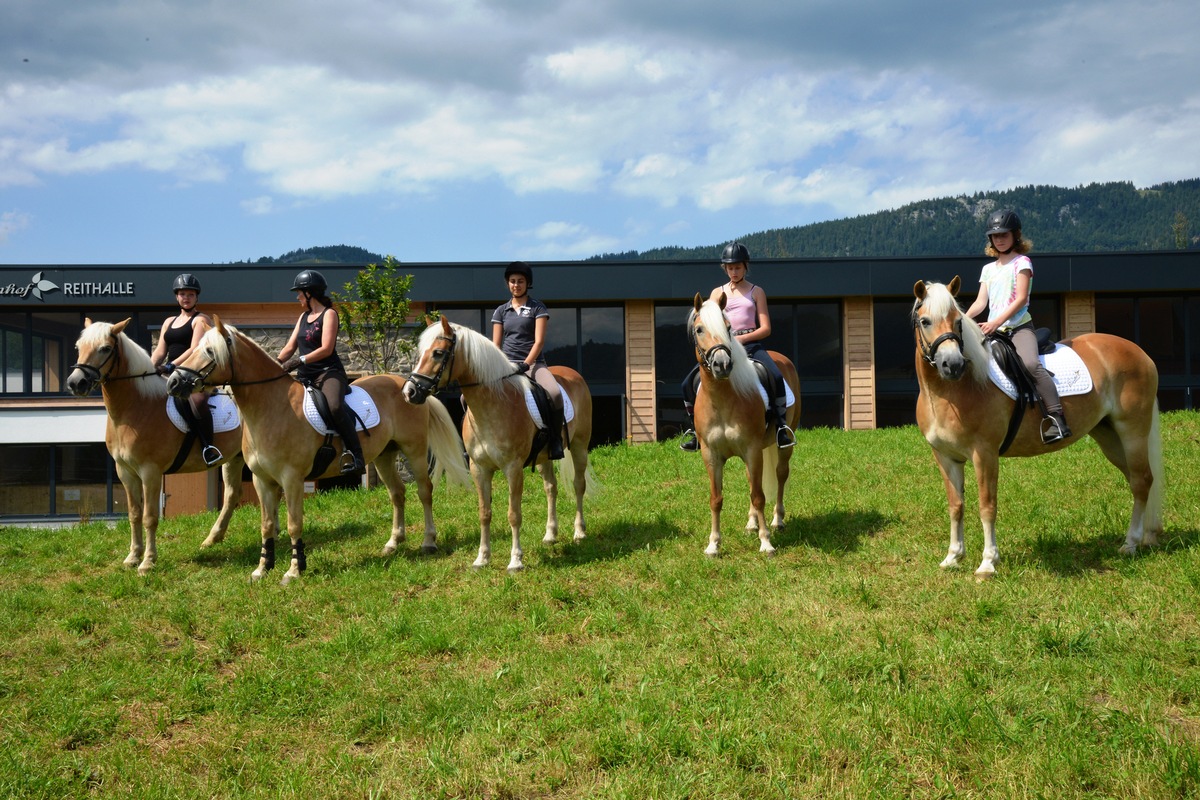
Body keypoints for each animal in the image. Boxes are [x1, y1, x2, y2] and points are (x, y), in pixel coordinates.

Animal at [66, 319, 246, 575]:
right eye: (78, 346)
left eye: (105, 348)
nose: (76, 383)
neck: (136, 407)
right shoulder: (125, 472)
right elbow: (134, 514)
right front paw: (132, 556)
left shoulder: (150, 472)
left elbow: (149, 516)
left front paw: (148, 561)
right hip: (235, 458)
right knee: (232, 495)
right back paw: (212, 539)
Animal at [166, 316, 465, 585]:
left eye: (208, 351)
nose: (173, 383)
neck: (271, 407)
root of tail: (407, 386)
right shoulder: (262, 480)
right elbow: (266, 524)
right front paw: (262, 569)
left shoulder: (292, 479)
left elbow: (293, 523)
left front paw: (293, 571)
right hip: (384, 455)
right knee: (397, 493)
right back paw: (393, 543)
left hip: (414, 450)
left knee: (424, 491)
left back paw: (428, 542)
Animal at [403, 316, 595, 573]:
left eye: (437, 353)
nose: (410, 392)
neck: (493, 406)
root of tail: (572, 373)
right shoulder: (479, 468)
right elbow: (484, 513)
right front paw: (482, 558)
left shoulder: (512, 469)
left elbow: (514, 514)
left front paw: (515, 561)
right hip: (544, 457)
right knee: (551, 488)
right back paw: (550, 535)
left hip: (579, 446)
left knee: (578, 485)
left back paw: (579, 532)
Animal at [691, 292, 801, 556]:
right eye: (699, 329)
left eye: (728, 327)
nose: (722, 364)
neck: (722, 399)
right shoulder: (711, 454)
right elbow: (716, 498)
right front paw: (713, 545)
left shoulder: (752, 449)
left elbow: (759, 496)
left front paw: (766, 542)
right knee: (752, 480)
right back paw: (751, 523)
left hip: (783, 444)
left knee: (780, 474)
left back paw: (777, 520)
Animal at [907, 278, 1161, 578]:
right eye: (925, 321)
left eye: (958, 321)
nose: (953, 365)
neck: (952, 392)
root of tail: (1139, 352)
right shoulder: (945, 457)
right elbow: (956, 506)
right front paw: (953, 557)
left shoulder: (985, 454)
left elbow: (987, 505)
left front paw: (988, 563)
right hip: (1109, 436)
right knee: (1136, 480)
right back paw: (1142, 538)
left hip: (1132, 431)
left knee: (1142, 481)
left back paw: (1131, 544)